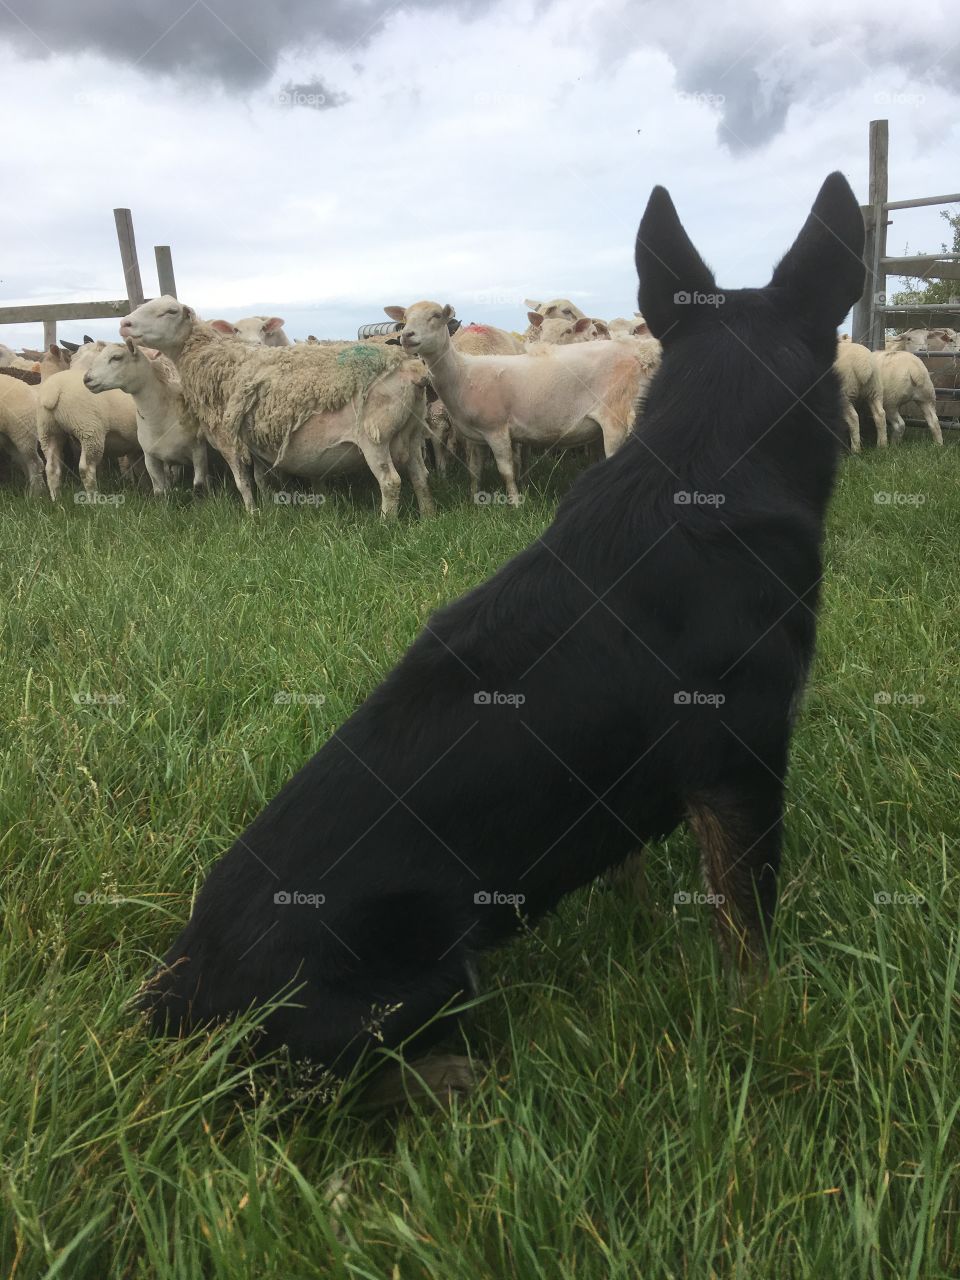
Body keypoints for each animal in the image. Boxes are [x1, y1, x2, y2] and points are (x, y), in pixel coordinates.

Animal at [36, 342, 141, 499]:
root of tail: (54, 390)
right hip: (89, 431)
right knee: (86, 468)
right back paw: (94, 498)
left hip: (48, 431)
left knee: (51, 468)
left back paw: (57, 498)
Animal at [82, 341, 209, 494]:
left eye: (117, 357)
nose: (86, 379)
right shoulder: (150, 457)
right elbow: (159, 490)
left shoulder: (199, 452)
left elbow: (199, 485)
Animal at [120, 297, 434, 518]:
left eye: (170, 311)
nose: (124, 324)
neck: (214, 359)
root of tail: (409, 369)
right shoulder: (254, 438)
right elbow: (260, 479)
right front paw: (270, 508)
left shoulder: (227, 438)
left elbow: (242, 483)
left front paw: (251, 516)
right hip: (412, 432)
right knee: (420, 476)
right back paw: (427, 518)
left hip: (374, 435)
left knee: (390, 482)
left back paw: (385, 524)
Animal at [385, 300, 659, 502]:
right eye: (405, 318)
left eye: (436, 316)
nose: (407, 335)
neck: (463, 372)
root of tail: (639, 353)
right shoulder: (475, 436)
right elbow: (474, 469)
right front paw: (474, 499)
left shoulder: (497, 430)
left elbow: (506, 471)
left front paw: (515, 503)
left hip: (616, 416)